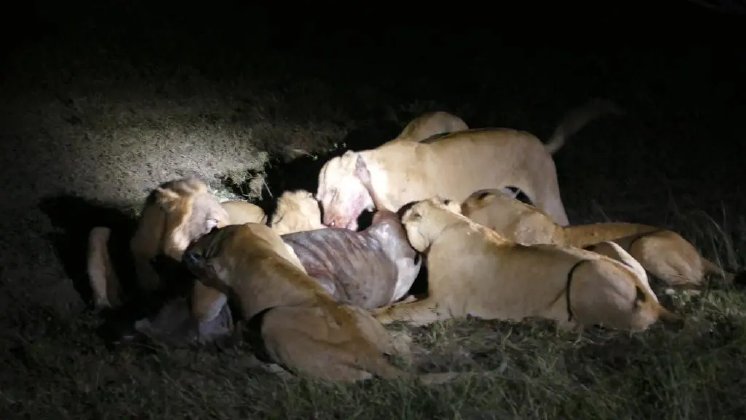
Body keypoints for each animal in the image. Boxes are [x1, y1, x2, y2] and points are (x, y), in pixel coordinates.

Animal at [373, 197, 679, 332]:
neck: (449, 222)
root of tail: (655, 303)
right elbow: (402, 302)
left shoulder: (443, 307)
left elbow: (397, 312)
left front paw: (375, 317)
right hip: (605, 248)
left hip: (584, 271)